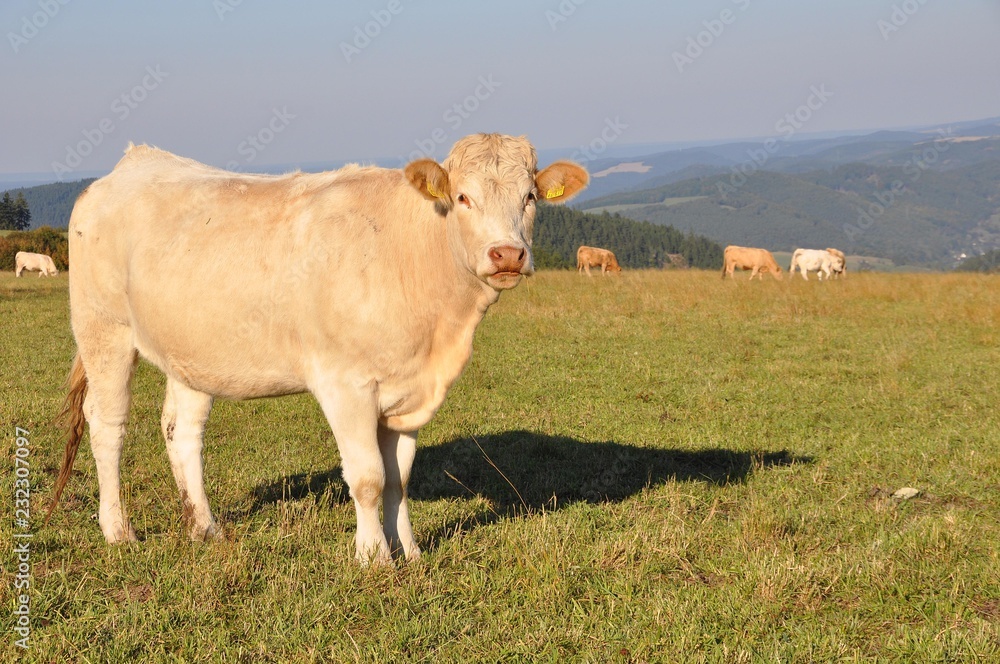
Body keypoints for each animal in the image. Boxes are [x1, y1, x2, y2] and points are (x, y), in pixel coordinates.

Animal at [47, 135, 588, 566]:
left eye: (530, 197)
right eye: (462, 197)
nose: (508, 254)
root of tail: (133, 161)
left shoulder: (409, 391)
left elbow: (399, 478)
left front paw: (410, 551)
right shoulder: (345, 383)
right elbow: (369, 477)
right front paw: (374, 558)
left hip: (191, 349)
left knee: (182, 431)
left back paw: (204, 527)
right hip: (104, 330)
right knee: (107, 425)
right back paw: (119, 531)